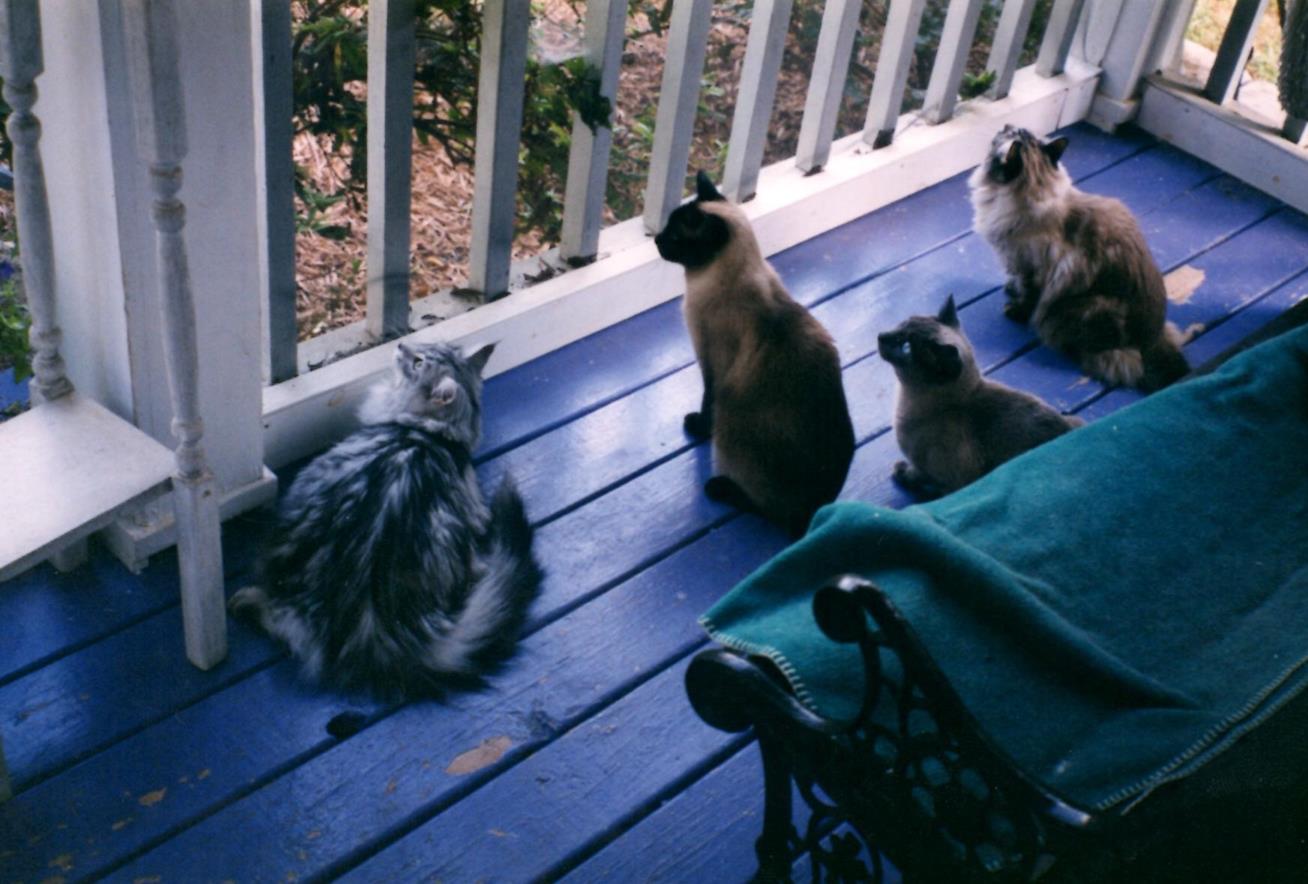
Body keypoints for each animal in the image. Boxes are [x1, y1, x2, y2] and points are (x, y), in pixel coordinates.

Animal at [231, 340, 541, 695]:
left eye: (418, 362)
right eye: (429, 345)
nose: (401, 344)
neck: (430, 433)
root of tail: (375, 624)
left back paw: (245, 602)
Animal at [654, 170, 858, 536]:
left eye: (675, 236)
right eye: (666, 226)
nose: (657, 240)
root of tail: (817, 510)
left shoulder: (712, 365)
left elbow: (707, 402)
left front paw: (697, 426)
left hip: (730, 434)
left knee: (771, 512)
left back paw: (721, 488)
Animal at [878, 295, 1083, 496]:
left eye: (906, 348)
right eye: (902, 325)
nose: (880, 336)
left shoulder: (948, 478)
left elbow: (921, 477)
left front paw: (901, 471)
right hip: (1077, 420)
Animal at [967, 124, 1192, 389]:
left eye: (1008, 134)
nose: (1006, 125)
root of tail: (1153, 339)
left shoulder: (1029, 266)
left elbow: (1028, 297)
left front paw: (1015, 310)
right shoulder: (1016, 264)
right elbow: (1015, 283)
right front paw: (1010, 290)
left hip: (1084, 309)